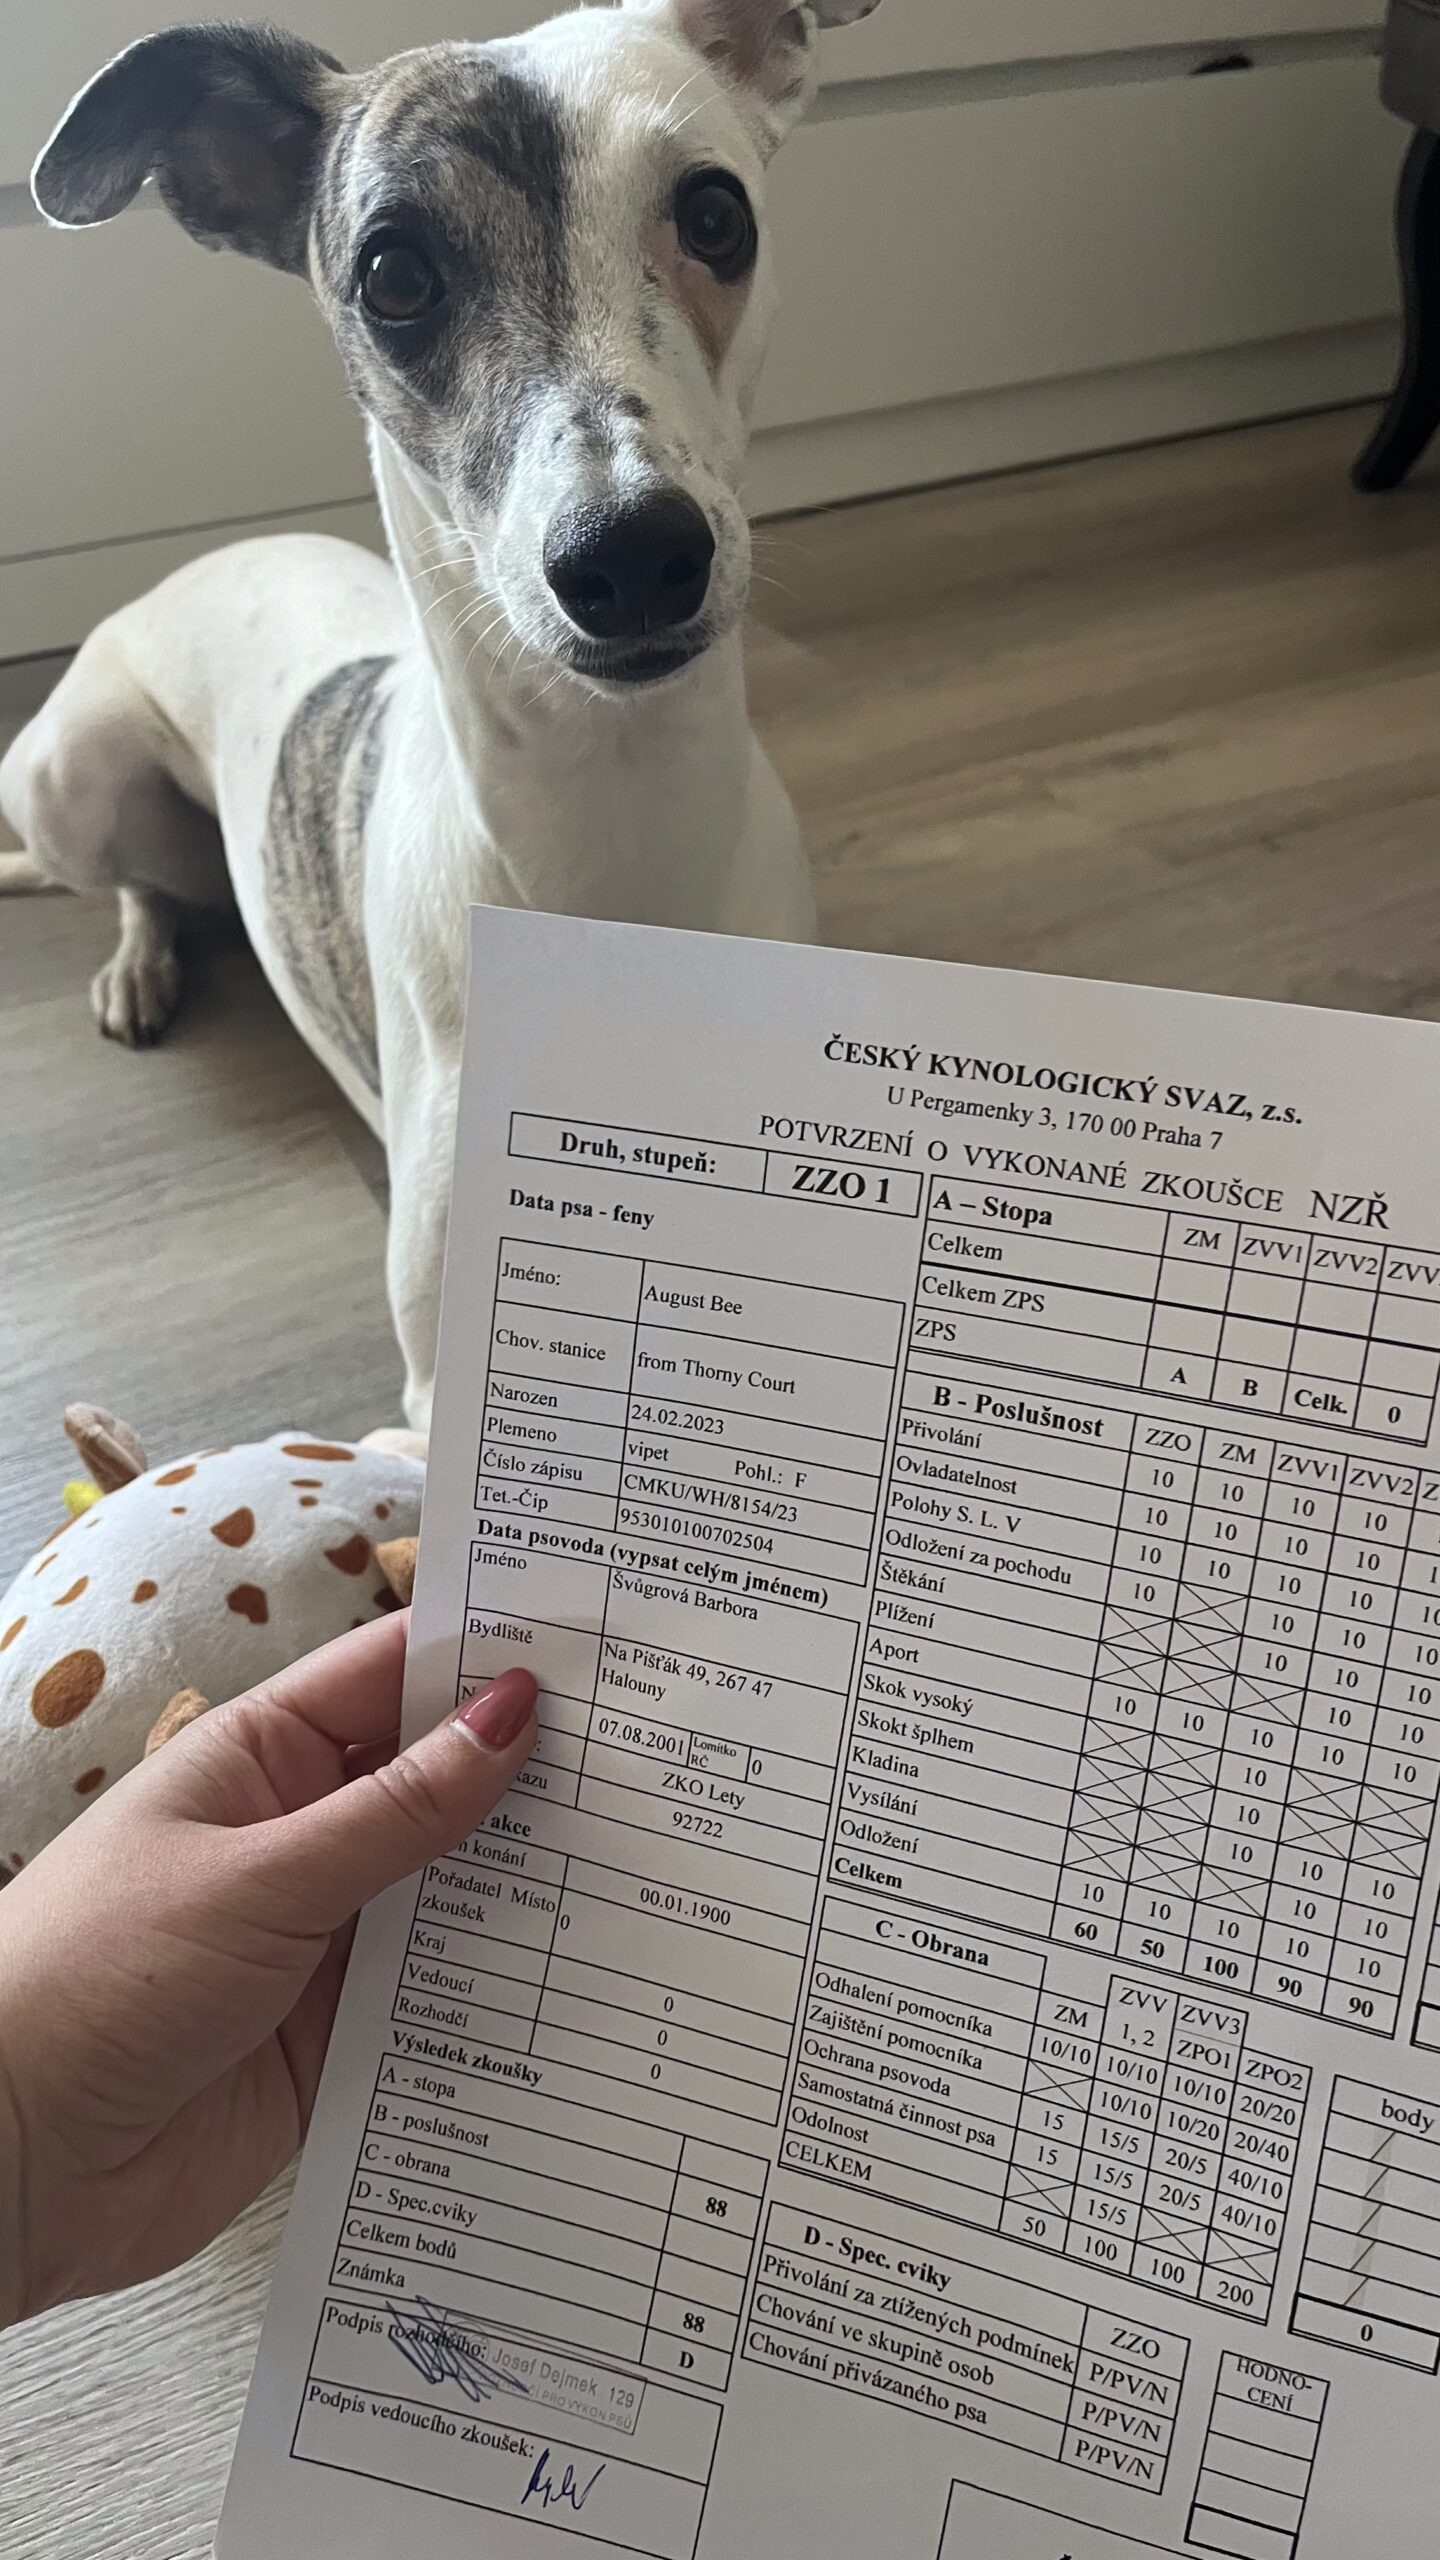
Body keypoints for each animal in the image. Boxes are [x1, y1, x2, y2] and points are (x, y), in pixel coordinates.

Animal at [0, 0, 882, 1435]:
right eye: (394, 276)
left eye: (715, 214)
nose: (633, 557)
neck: (614, 826)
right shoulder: (435, 1392)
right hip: (67, 777)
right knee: (137, 879)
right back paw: (140, 961)